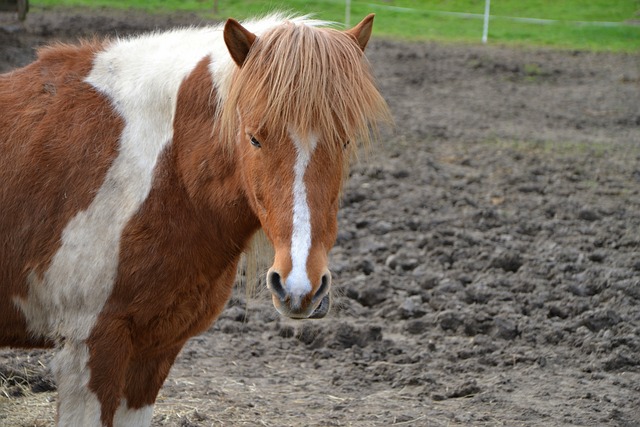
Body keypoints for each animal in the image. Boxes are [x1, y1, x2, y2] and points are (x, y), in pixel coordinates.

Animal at [0, 11, 390, 426]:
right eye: (254, 138)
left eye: (345, 141)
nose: (300, 287)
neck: (163, 170)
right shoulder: (87, 347)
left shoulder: (154, 350)